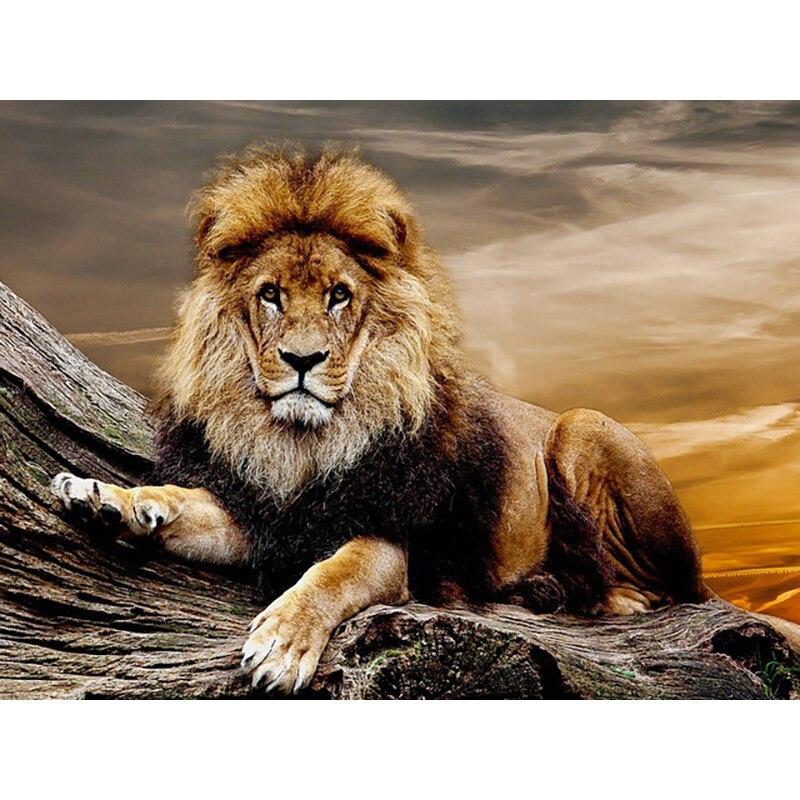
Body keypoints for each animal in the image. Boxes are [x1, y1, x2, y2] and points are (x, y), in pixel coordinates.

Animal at [51, 145, 708, 695]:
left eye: (339, 295)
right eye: (270, 295)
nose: (303, 360)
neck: (303, 444)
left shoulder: (389, 538)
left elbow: (333, 574)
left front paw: (282, 643)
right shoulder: (267, 516)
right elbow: (184, 501)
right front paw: (105, 496)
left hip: (582, 427)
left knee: (666, 592)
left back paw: (582, 596)